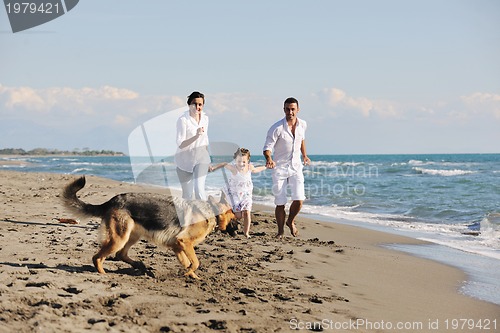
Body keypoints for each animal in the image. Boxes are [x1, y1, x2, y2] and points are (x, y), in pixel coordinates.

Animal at [61, 176, 237, 278]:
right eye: (235, 216)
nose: (238, 230)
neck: (211, 210)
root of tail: (112, 201)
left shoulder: (177, 245)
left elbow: (188, 262)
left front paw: (191, 276)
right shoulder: (184, 242)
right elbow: (195, 262)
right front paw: (189, 273)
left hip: (132, 236)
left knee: (120, 254)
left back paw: (139, 265)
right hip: (120, 238)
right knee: (98, 257)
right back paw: (103, 273)